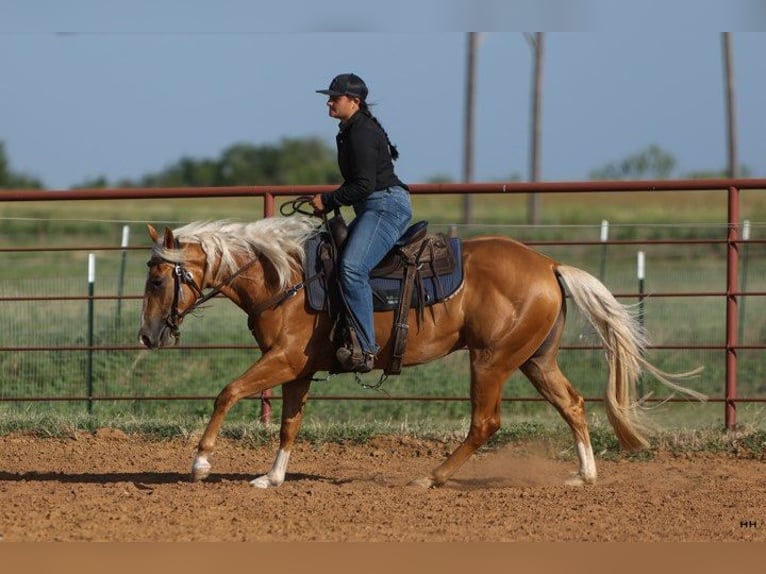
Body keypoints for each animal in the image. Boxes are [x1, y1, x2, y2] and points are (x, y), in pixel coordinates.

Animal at [138, 216, 704, 488]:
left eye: (159, 279)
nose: (147, 336)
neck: (288, 278)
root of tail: (548, 264)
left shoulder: (283, 360)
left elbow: (227, 392)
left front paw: (201, 463)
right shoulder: (296, 368)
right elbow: (289, 424)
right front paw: (271, 477)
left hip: (491, 360)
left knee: (485, 423)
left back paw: (431, 477)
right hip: (534, 359)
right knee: (573, 404)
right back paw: (583, 476)